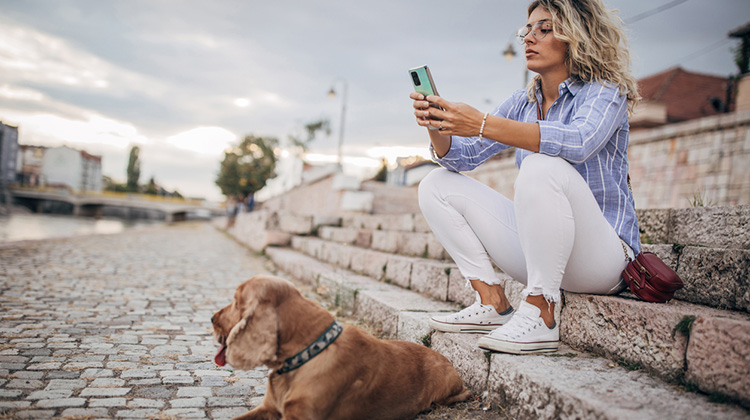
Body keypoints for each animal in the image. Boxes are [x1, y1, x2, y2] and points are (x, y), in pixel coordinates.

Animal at [212, 276, 470, 420]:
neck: (306, 353)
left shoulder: (301, 416)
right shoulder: (269, 408)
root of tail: (447, 360)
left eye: (235, 301)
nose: (212, 318)